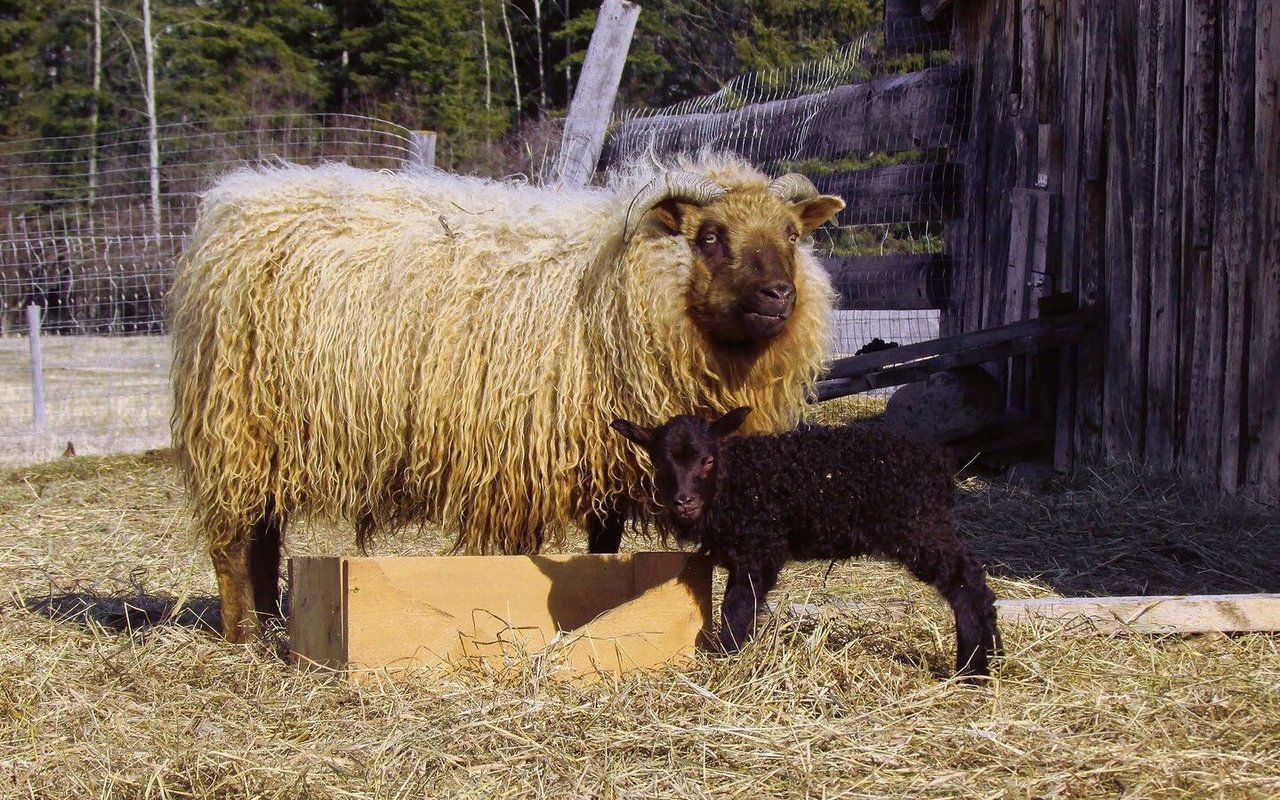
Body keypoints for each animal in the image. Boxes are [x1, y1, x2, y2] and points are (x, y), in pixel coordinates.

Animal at [172, 149, 849, 640]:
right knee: (233, 543)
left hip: (263, 436)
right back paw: (245, 638)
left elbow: (604, 544)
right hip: (235, 423)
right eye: (709, 236)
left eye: (792, 234)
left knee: (263, 537)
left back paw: (270, 623)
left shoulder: (608, 455)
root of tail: (233, 203)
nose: (779, 296)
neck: (626, 288)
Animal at [609, 404, 998, 675]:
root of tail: (940, 468)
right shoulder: (744, 553)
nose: (684, 501)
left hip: (919, 528)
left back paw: (972, 668)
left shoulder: (760, 547)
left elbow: (735, 607)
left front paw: (729, 655)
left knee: (966, 583)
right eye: (660, 464)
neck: (732, 481)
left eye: (707, 460)